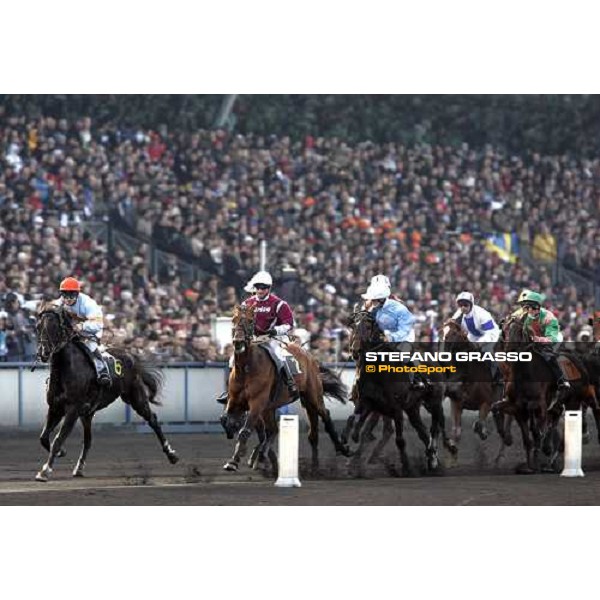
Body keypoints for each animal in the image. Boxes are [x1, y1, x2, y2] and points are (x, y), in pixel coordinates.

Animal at [34, 302, 178, 480]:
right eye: (38, 326)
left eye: (54, 326)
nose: (44, 352)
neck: (65, 370)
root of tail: (131, 356)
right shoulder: (55, 407)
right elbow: (43, 437)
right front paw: (61, 453)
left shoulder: (72, 410)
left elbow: (58, 439)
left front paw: (45, 471)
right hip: (88, 414)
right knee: (88, 440)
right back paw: (79, 468)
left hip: (135, 397)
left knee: (153, 420)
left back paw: (171, 454)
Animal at [220, 308, 352, 476]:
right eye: (233, 320)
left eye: (250, 321)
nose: (238, 341)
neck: (247, 368)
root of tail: (308, 354)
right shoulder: (235, 401)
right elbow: (226, 420)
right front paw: (246, 454)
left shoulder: (257, 403)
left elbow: (245, 430)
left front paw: (234, 461)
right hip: (286, 405)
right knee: (298, 432)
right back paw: (310, 466)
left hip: (313, 395)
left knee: (325, 416)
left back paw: (342, 449)